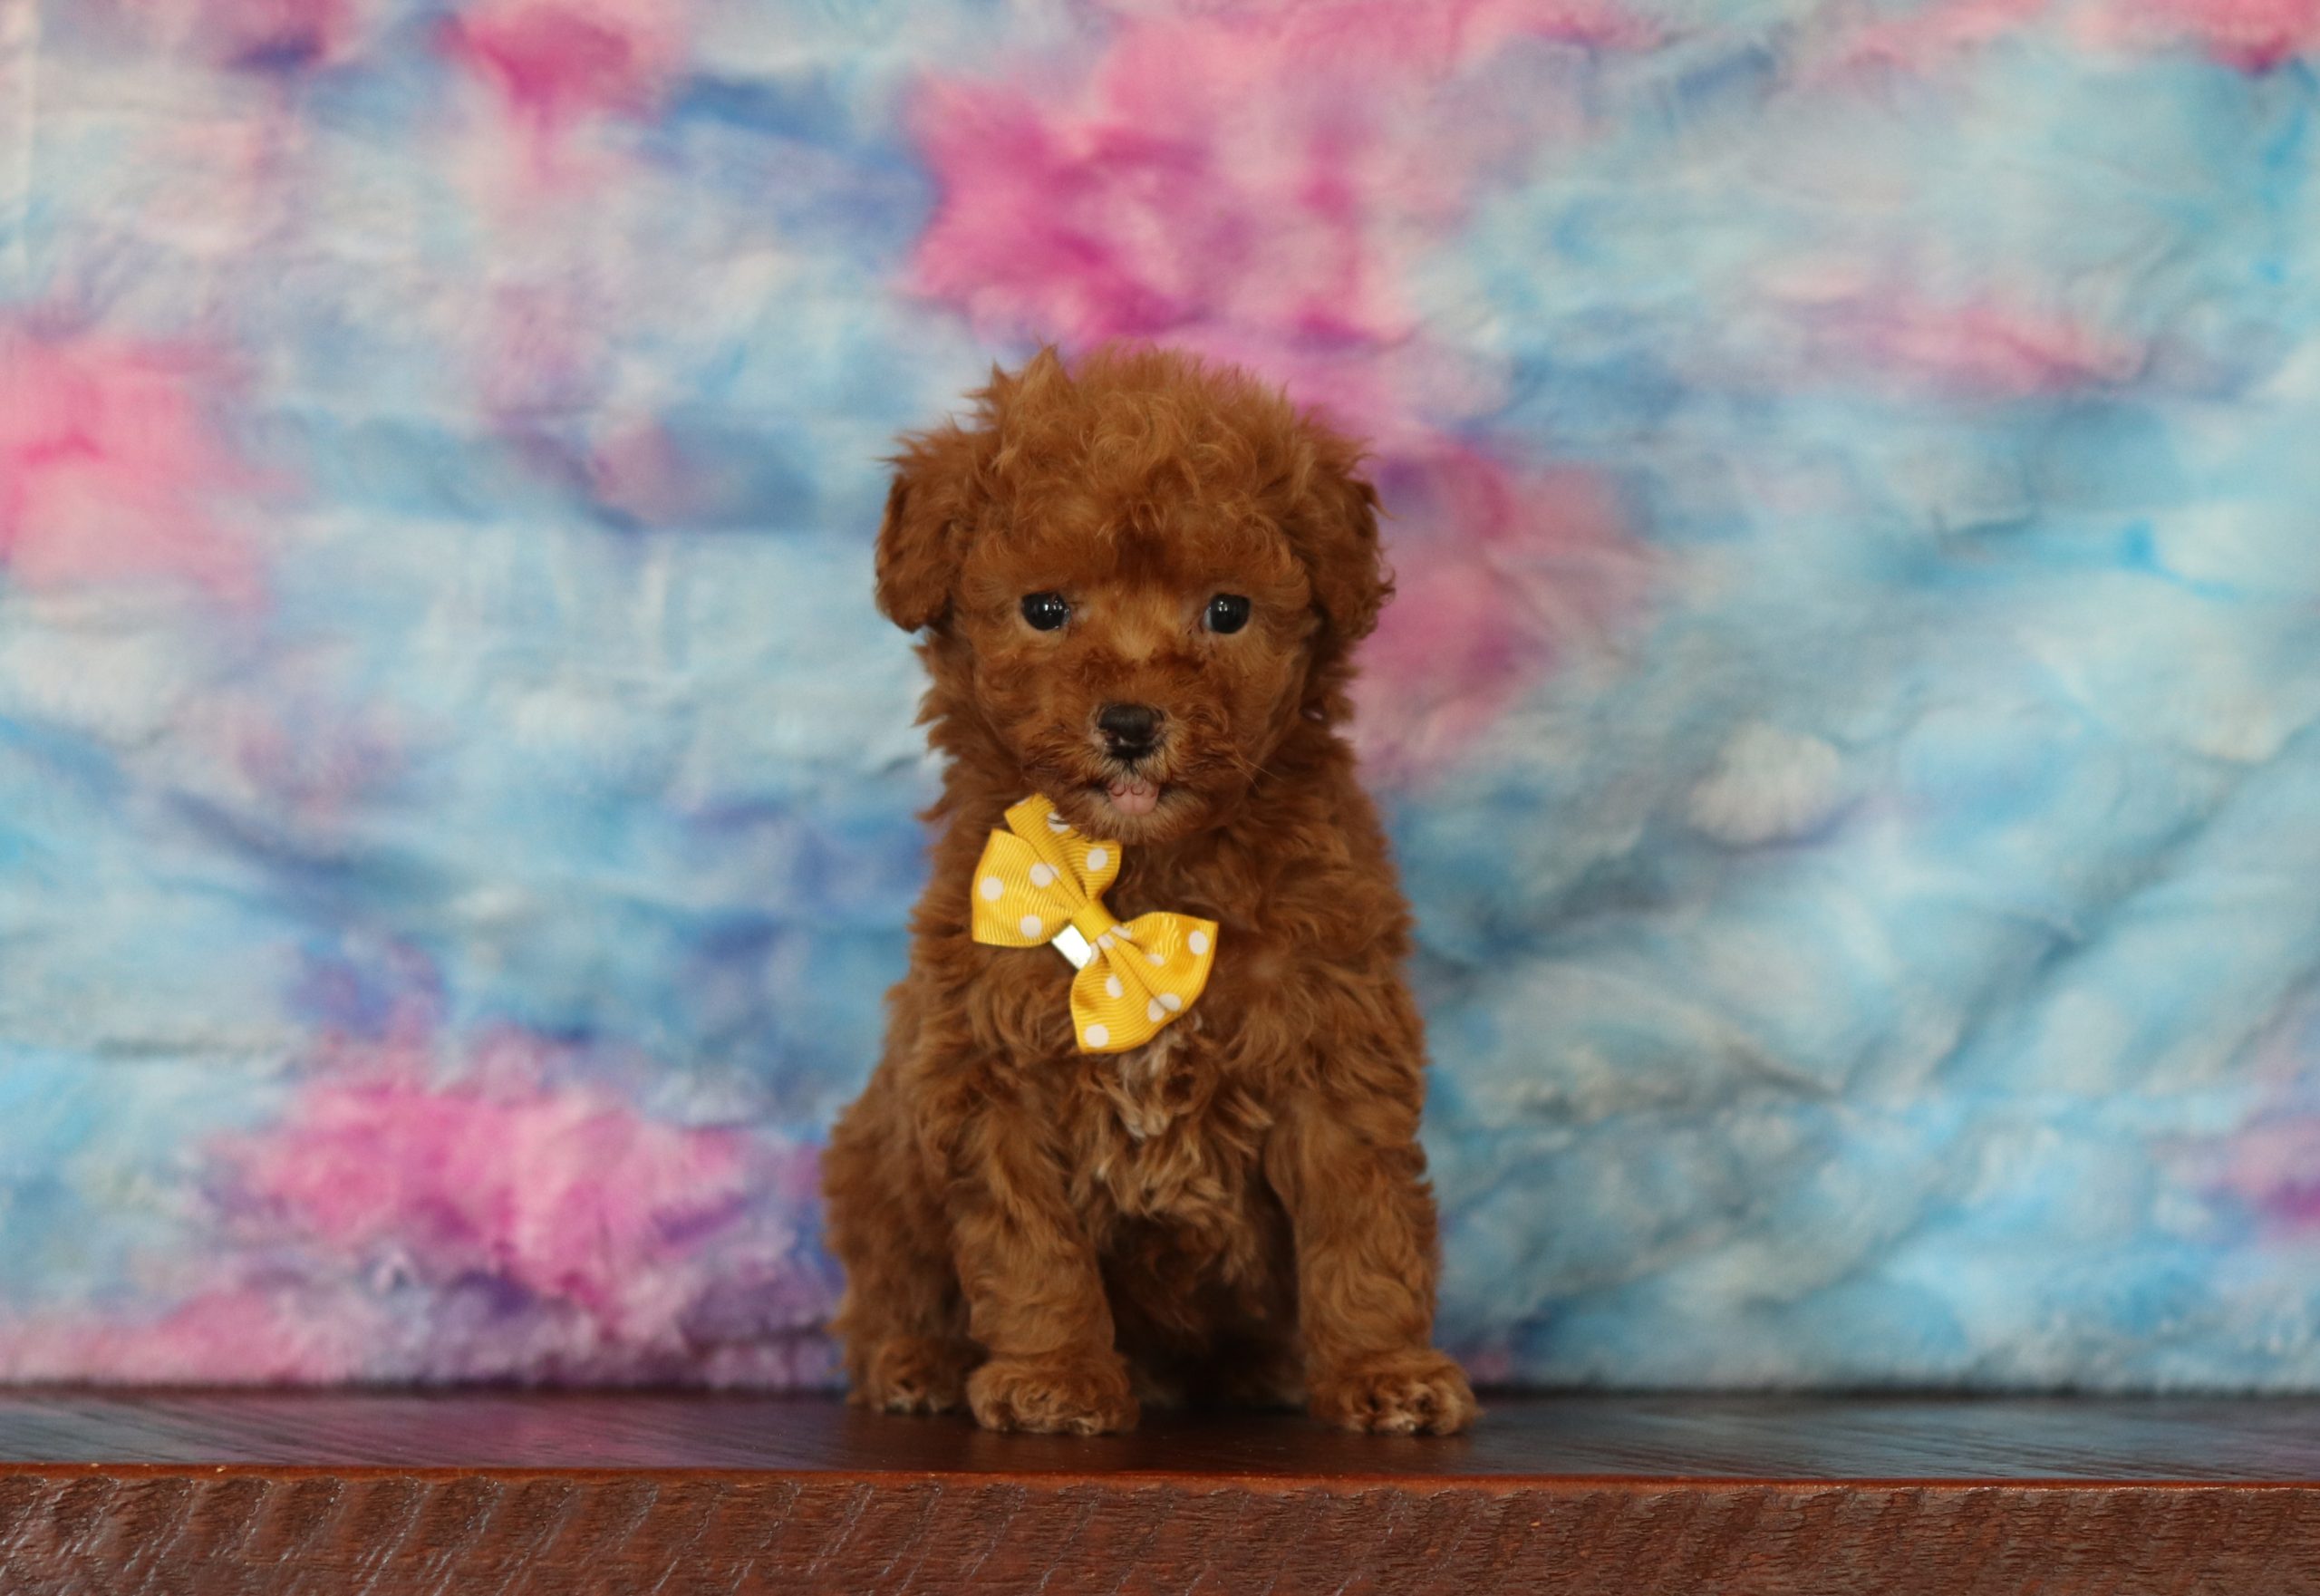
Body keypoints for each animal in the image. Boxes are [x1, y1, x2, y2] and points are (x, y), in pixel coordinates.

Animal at [821, 345, 1475, 1436]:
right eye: (1046, 609)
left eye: (1227, 611)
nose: (1130, 723)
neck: (1134, 874)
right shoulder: (989, 1067)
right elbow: (1029, 1248)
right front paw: (1054, 1375)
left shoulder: (1334, 1049)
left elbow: (1362, 1223)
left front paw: (1384, 1368)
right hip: (880, 1157)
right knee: (893, 1279)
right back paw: (915, 1362)